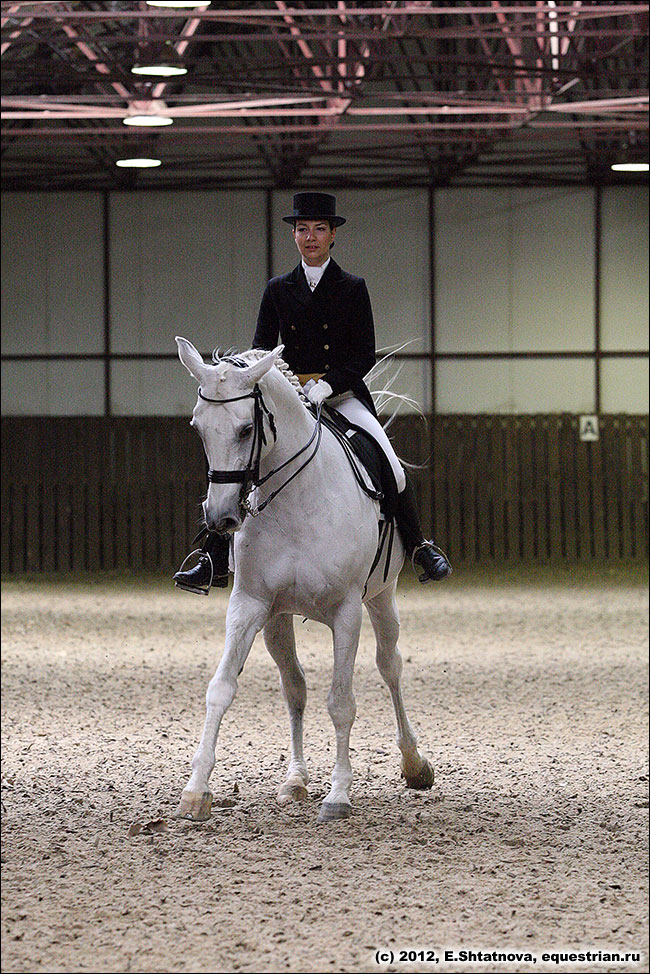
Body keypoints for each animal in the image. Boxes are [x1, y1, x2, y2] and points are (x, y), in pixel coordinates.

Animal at [174, 337, 435, 823]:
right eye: (199, 429)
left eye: (245, 430)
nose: (221, 519)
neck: (297, 498)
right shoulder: (250, 604)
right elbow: (222, 688)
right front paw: (196, 791)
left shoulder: (347, 611)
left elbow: (341, 702)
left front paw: (339, 795)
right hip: (278, 621)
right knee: (294, 688)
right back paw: (295, 780)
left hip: (382, 597)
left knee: (389, 666)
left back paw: (414, 764)